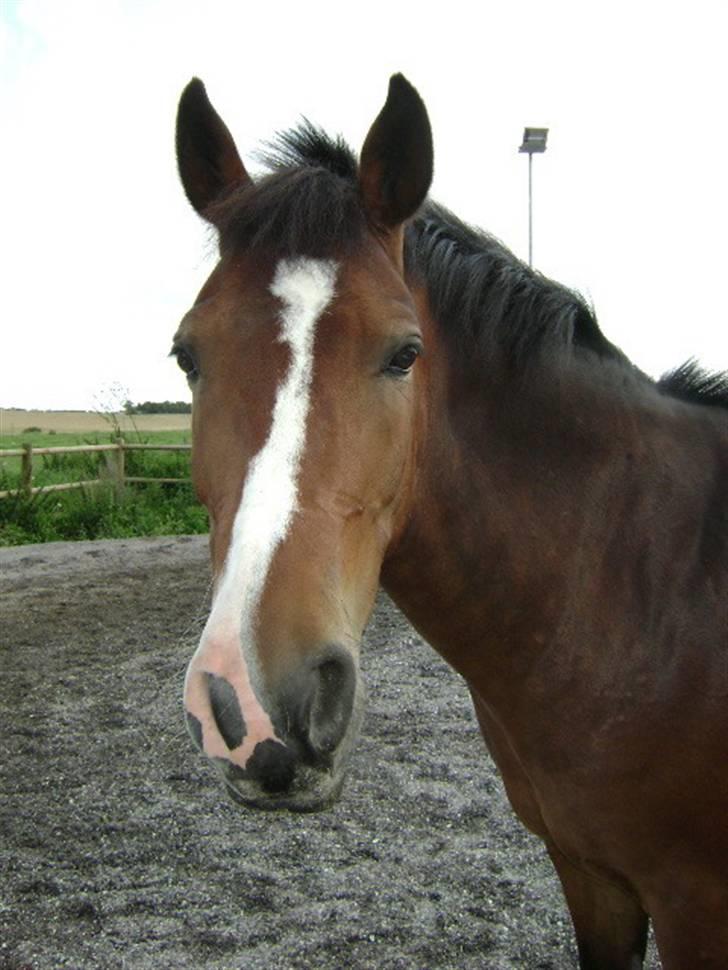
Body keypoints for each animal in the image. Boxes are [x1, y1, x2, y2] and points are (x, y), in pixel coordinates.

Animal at [172, 75, 728, 968]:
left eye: (405, 353)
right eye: (187, 355)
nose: (253, 705)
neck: (643, 588)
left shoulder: (696, 903)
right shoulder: (591, 876)